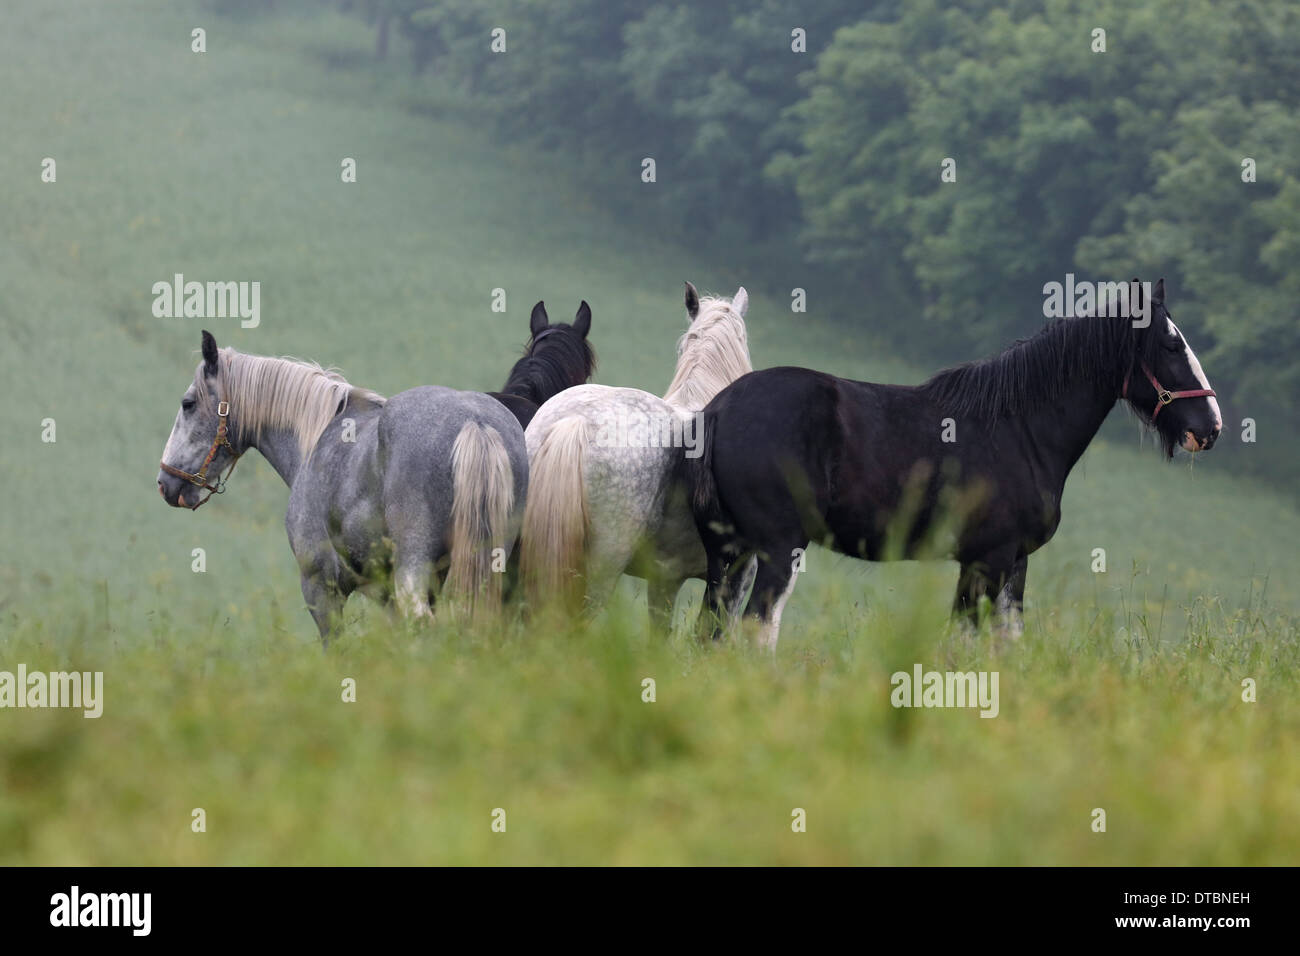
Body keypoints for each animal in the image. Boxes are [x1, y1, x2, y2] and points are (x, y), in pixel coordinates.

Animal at [689, 278, 1222, 650]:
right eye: (1172, 345)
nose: (1211, 426)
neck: (1019, 430)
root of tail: (717, 409)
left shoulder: (1009, 563)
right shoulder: (989, 560)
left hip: (732, 553)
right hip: (780, 548)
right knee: (755, 628)